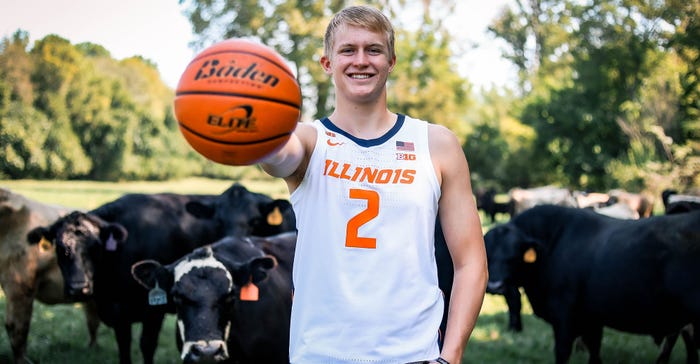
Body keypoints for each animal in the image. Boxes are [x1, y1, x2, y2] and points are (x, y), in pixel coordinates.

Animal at [484, 206, 700, 362]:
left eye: (513, 256)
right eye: (488, 255)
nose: (494, 286)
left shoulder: (564, 316)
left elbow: (562, 352)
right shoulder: (592, 319)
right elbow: (595, 353)